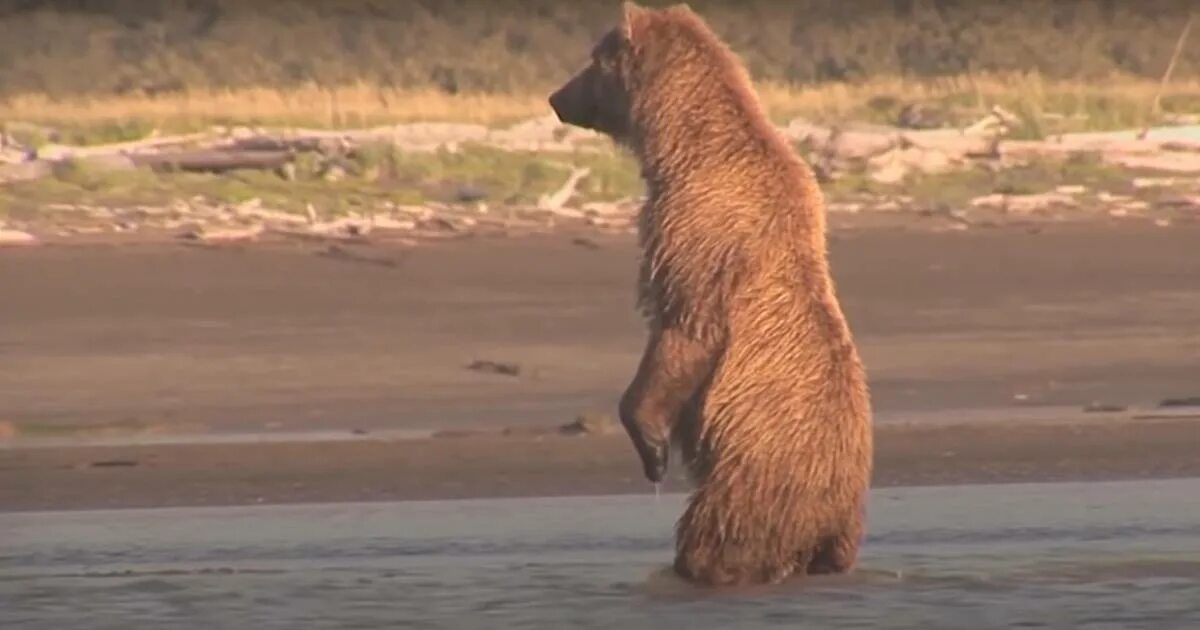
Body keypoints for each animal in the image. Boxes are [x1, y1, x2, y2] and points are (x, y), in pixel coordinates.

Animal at [549, 2, 878, 588]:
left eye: (593, 59)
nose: (556, 98)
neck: (683, 151)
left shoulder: (700, 238)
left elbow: (685, 328)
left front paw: (652, 446)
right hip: (840, 527)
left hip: (751, 483)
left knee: (717, 538)